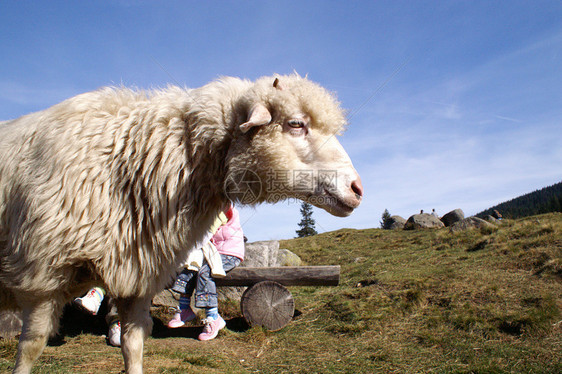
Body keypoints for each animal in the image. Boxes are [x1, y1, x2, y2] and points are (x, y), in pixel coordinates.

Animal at [0, 74, 360, 374]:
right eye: (296, 123)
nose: (358, 188)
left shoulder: (137, 274)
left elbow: (133, 346)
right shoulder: (42, 275)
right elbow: (31, 347)